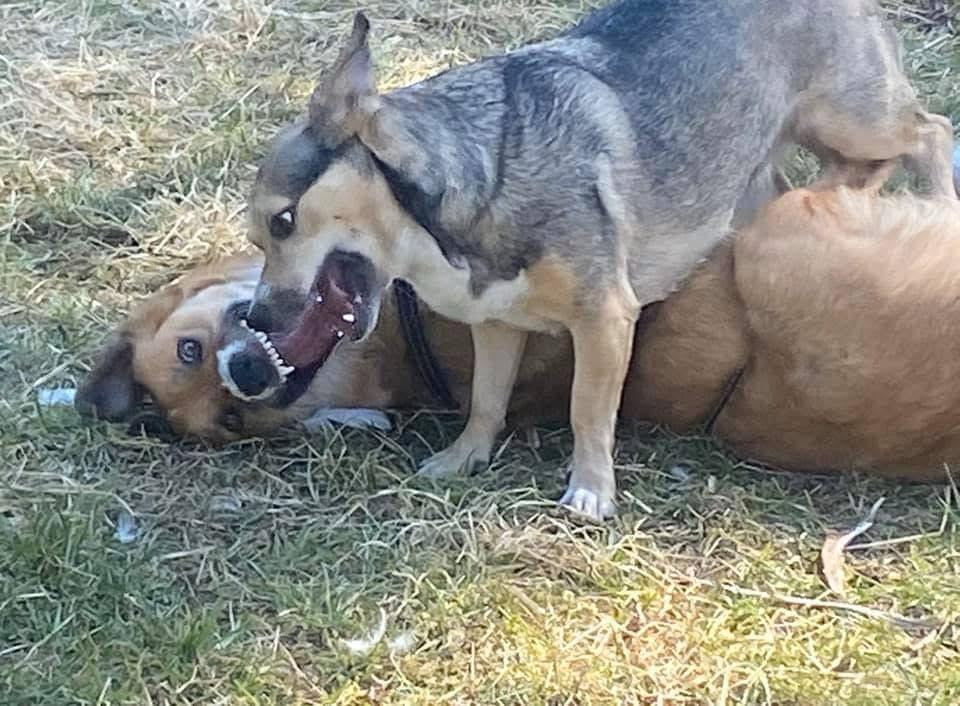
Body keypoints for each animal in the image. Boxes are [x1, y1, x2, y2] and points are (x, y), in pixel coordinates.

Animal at [239, 1, 957, 520]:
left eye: (282, 222)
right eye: (256, 242)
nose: (256, 322)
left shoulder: (606, 320)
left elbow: (589, 409)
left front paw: (590, 491)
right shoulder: (495, 324)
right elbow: (486, 400)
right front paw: (464, 457)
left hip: (852, 117)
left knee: (929, 130)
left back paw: (941, 197)